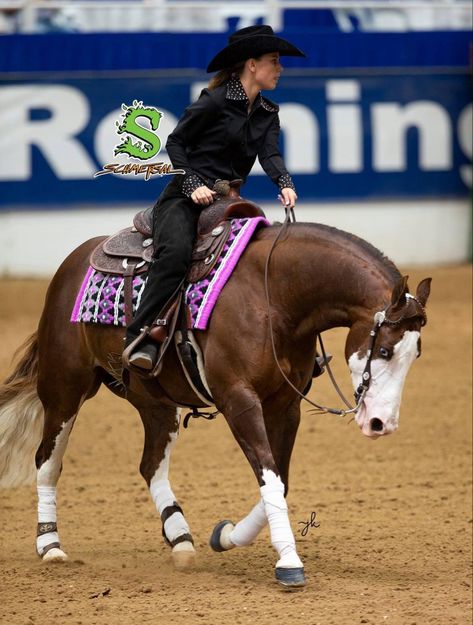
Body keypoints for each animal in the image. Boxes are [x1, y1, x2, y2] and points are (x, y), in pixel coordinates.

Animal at [0, 216, 430, 588]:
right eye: (386, 351)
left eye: (416, 354)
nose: (381, 424)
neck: (273, 296)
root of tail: (71, 265)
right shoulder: (239, 400)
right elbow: (270, 476)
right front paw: (289, 561)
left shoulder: (285, 405)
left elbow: (280, 479)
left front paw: (227, 536)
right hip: (65, 388)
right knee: (47, 461)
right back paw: (50, 545)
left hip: (156, 402)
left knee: (150, 465)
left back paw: (180, 537)